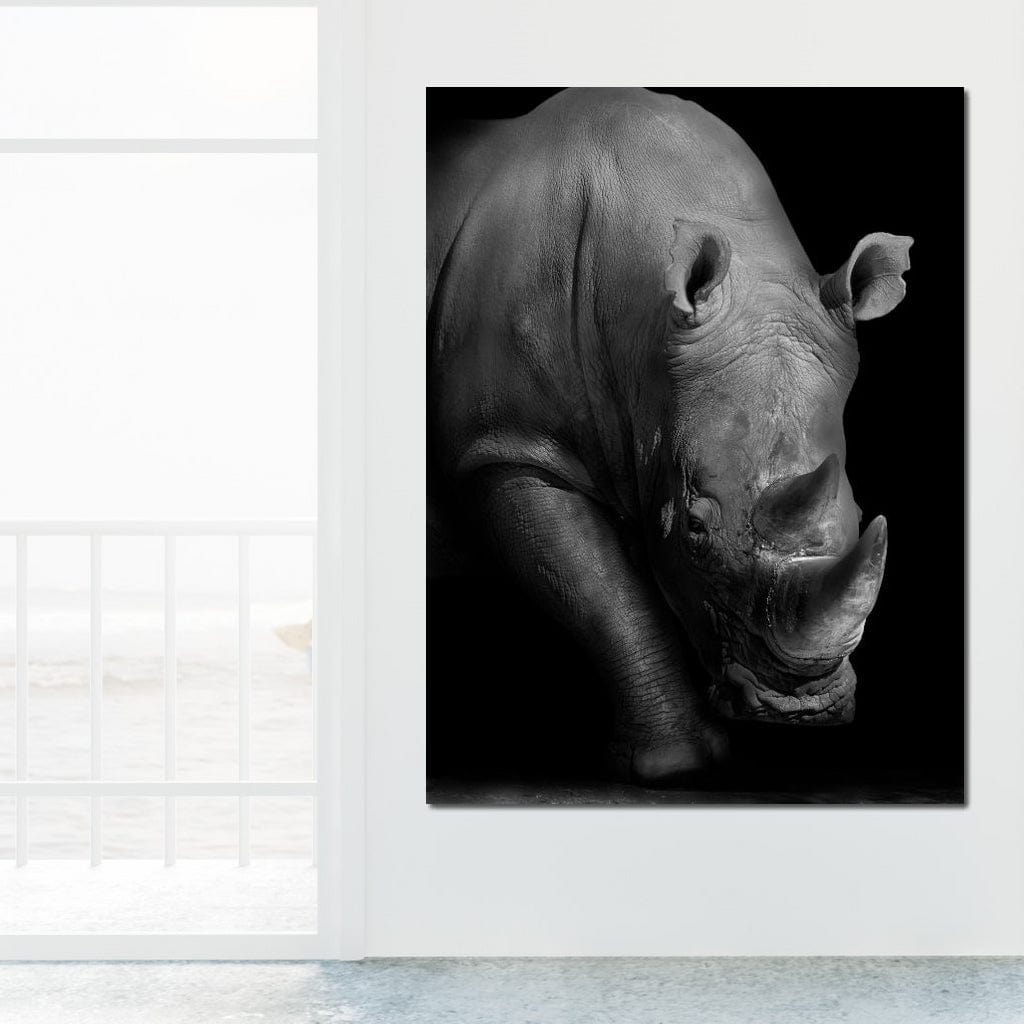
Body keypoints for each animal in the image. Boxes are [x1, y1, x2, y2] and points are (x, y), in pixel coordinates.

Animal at [427, 88, 911, 786]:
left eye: (855, 512)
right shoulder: (507, 446)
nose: (800, 707)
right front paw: (673, 765)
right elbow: (602, 592)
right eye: (695, 527)